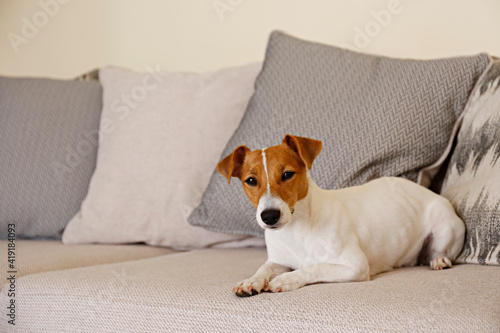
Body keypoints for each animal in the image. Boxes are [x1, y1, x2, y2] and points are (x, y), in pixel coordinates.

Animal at [217, 134, 466, 294]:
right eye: (251, 180)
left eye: (287, 174)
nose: (269, 217)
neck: (297, 229)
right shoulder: (278, 260)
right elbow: (264, 268)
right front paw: (251, 281)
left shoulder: (355, 266)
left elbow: (313, 267)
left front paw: (287, 279)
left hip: (445, 227)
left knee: (441, 251)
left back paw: (439, 260)